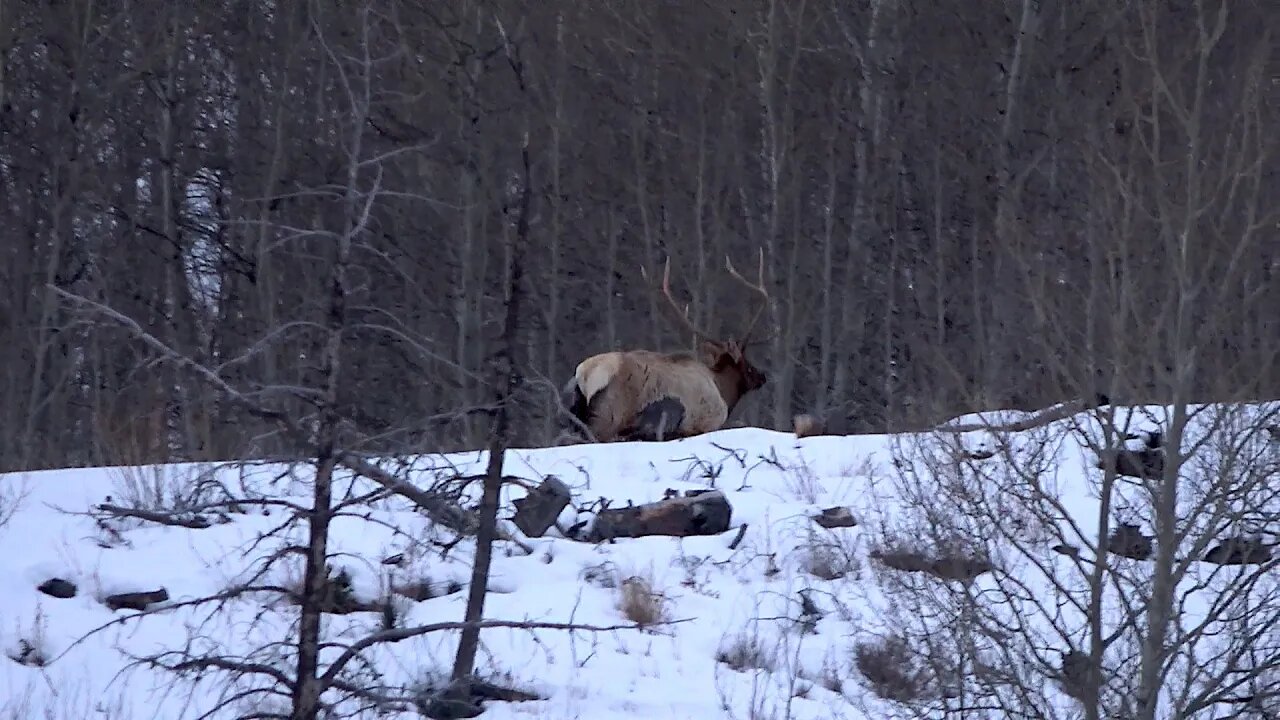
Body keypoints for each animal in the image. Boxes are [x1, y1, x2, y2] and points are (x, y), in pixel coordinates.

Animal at [568, 245, 768, 440]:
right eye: (748, 366)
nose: (762, 376)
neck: (722, 387)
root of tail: (586, 374)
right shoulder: (708, 420)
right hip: (611, 416)